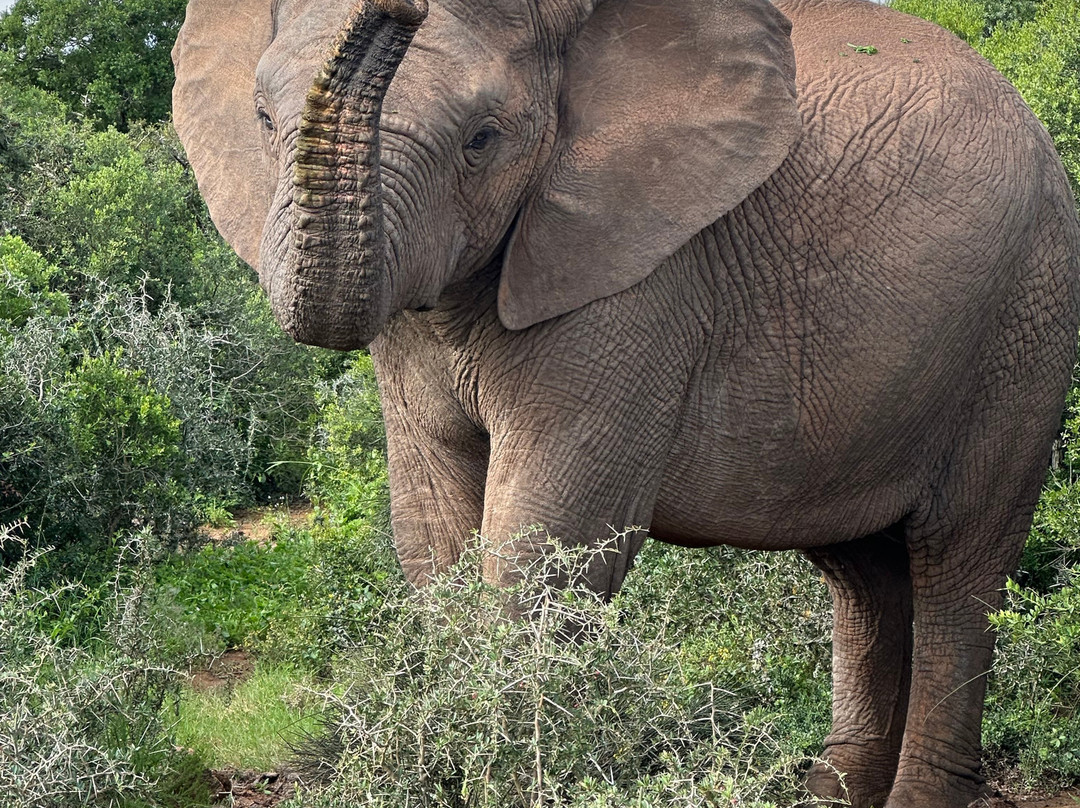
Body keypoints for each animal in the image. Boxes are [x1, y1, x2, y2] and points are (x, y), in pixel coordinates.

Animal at [172, 0, 1080, 805]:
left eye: (482, 140)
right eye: (262, 118)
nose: (402, 5)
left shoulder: (641, 276)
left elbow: (547, 534)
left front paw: (508, 780)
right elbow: (433, 530)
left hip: (1024, 324)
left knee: (958, 567)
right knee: (863, 576)